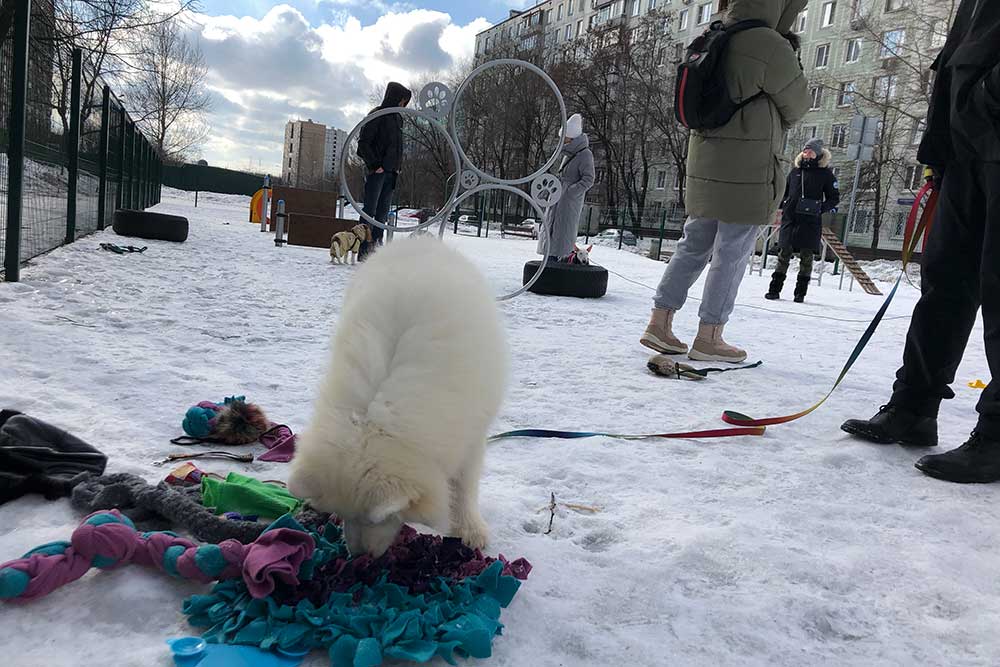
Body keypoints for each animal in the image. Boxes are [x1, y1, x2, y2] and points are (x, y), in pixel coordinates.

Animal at [288, 236, 508, 560]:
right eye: (343, 515)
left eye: (377, 520)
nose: (359, 557)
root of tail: (419, 240)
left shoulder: (472, 433)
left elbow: (464, 486)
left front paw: (470, 530)